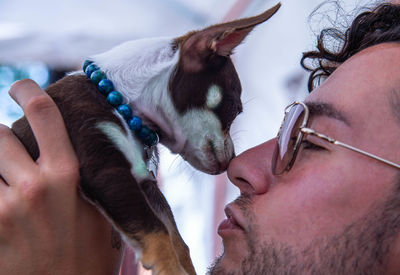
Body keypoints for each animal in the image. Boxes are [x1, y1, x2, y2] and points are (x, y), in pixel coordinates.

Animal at [10, 3, 280, 274]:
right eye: (234, 109)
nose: (233, 159)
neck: (119, 101)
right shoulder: (106, 170)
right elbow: (156, 230)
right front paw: (171, 267)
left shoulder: (148, 186)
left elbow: (177, 239)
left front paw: (184, 267)